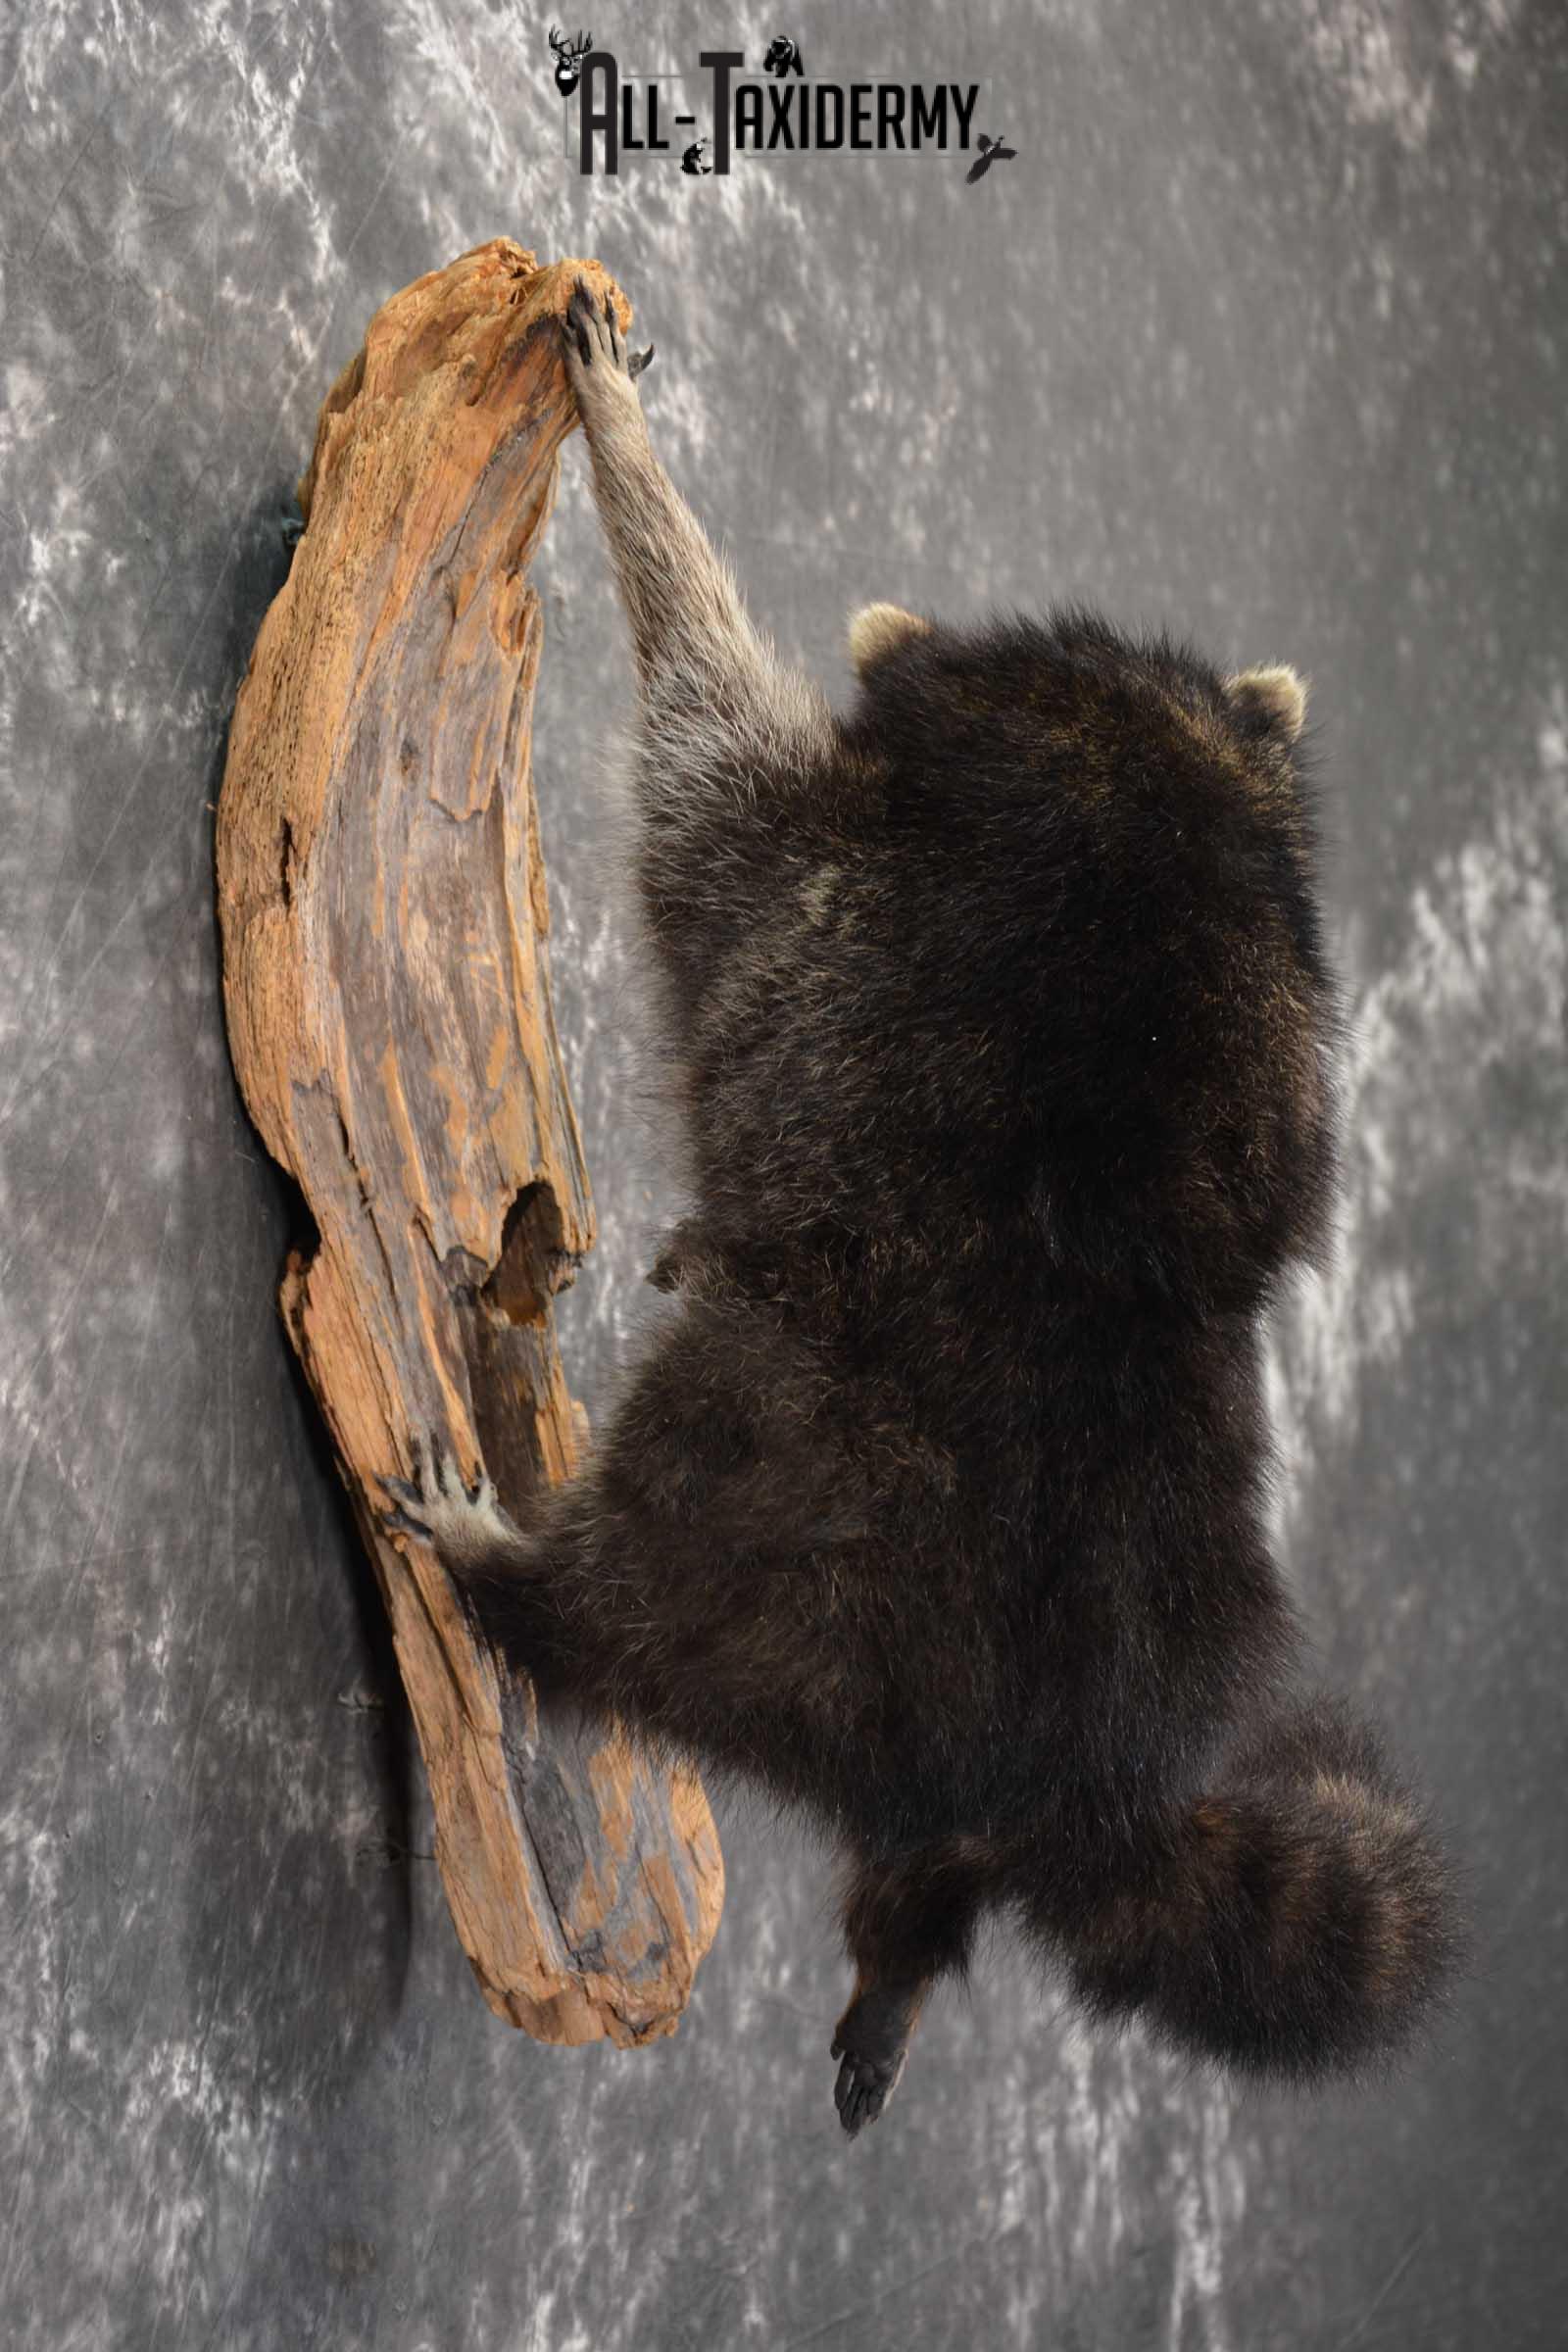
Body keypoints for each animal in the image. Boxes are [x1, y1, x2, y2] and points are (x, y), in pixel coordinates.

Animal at [381, 280, 1457, 2136]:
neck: (1160, 808)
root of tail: (1067, 1786)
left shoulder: (832, 890)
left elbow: (704, 739)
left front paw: (637, 479)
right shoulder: (1272, 1048)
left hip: (791, 1529)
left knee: (660, 1547)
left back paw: (513, 1572)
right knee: (919, 1880)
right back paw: (904, 1956)